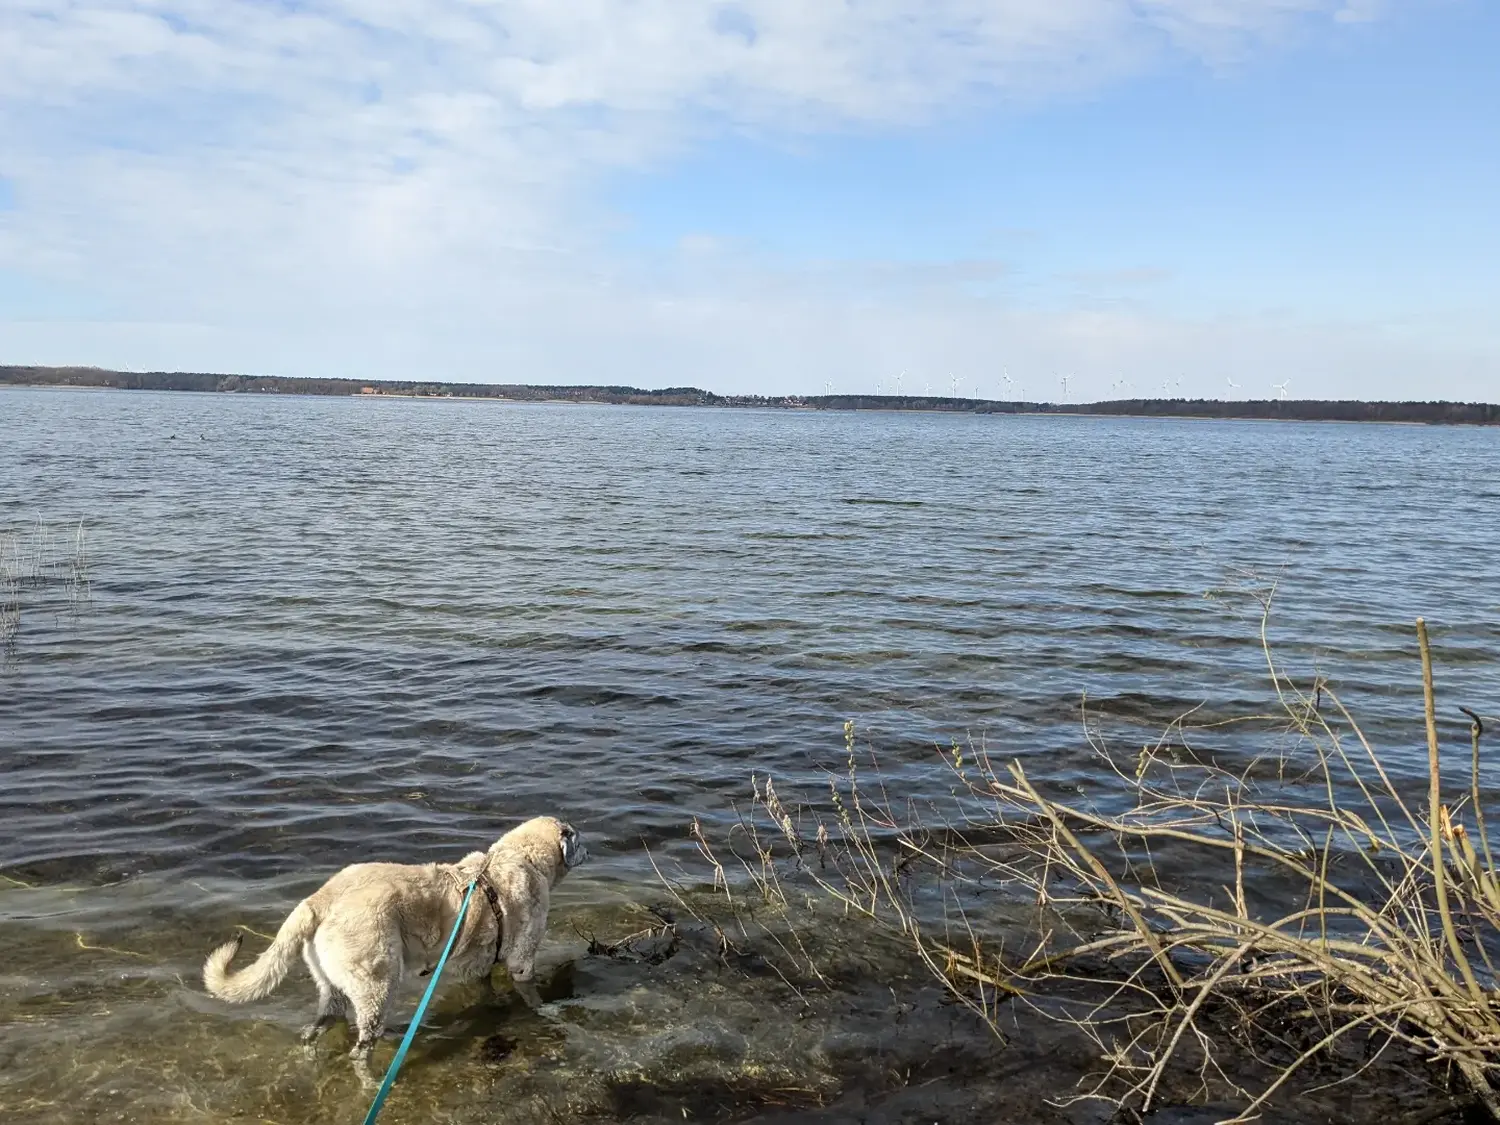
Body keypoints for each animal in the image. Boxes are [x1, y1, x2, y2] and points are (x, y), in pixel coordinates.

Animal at [204, 822, 585, 1056]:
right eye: (578, 840)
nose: (591, 850)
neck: (522, 857)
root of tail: (317, 901)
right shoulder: (523, 961)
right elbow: (531, 993)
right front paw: (547, 1011)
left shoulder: (479, 965)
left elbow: (485, 986)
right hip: (377, 983)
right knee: (361, 1047)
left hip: (333, 985)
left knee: (317, 1027)